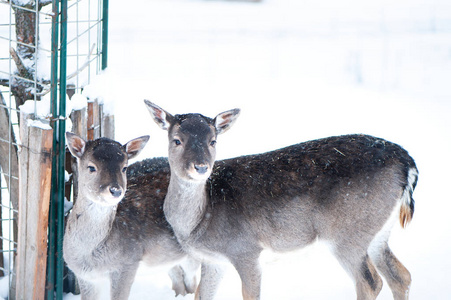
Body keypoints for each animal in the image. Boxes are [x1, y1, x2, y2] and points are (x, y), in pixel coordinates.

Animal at [64, 134, 200, 300]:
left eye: (124, 167)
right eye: (91, 167)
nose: (115, 190)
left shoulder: (128, 263)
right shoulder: (83, 275)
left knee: (192, 281)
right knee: (179, 280)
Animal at [146, 100, 420, 300]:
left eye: (213, 140)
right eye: (177, 140)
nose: (201, 167)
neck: (199, 222)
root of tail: (406, 162)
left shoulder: (246, 249)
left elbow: (251, 295)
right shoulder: (214, 260)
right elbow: (202, 295)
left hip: (347, 232)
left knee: (371, 282)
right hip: (377, 231)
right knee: (401, 275)